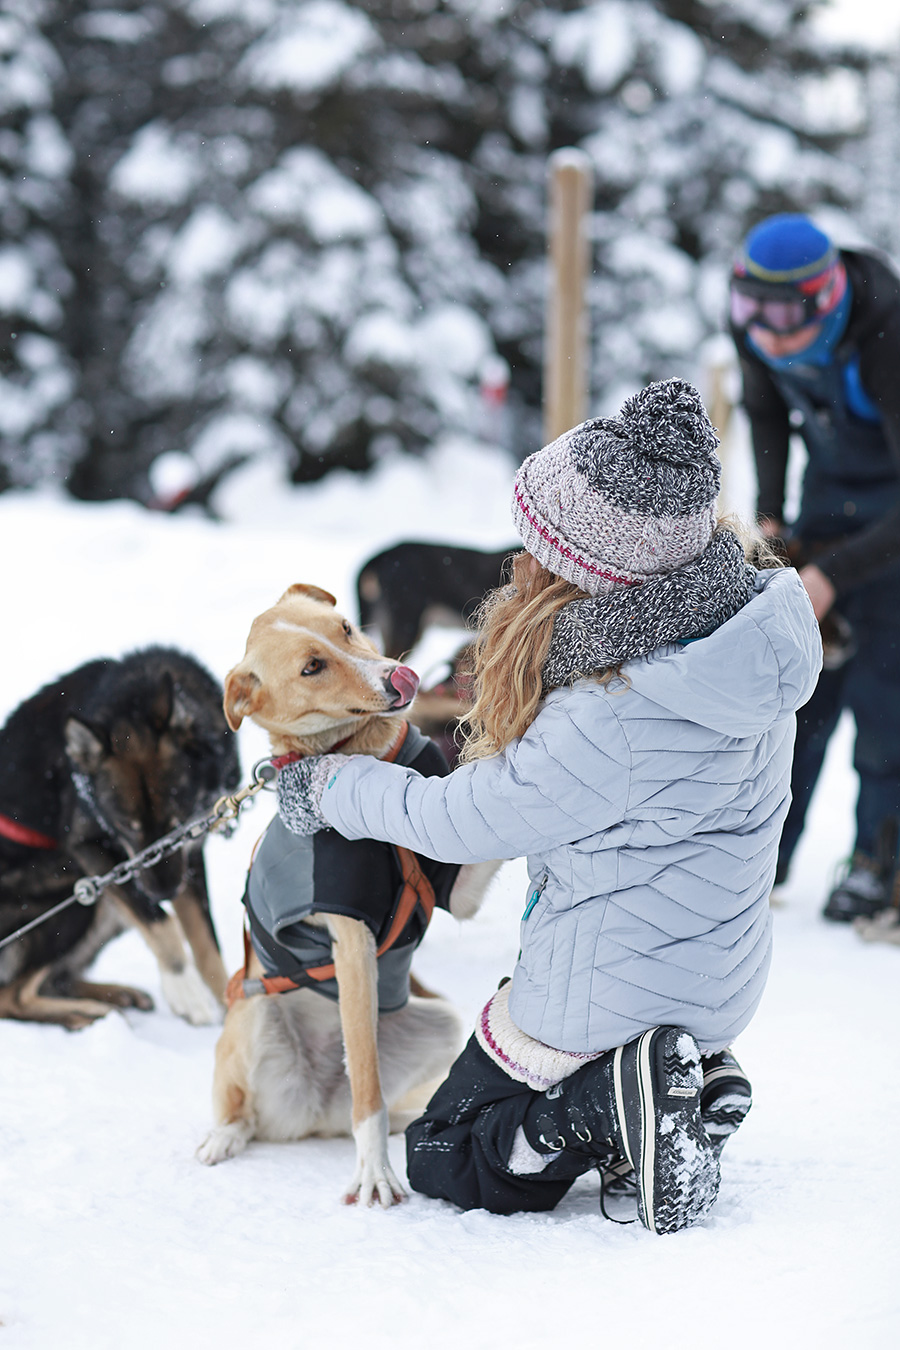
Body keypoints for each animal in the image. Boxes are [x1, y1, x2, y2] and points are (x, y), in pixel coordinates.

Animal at [0, 648, 238, 1026]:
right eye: (126, 827)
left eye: (178, 822)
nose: (165, 892)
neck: (133, 694)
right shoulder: (88, 847)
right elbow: (160, 920)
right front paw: (184, 988)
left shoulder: (190, 852)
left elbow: (205, 942)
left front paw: (233, 1007)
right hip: (80, 894)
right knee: (11, 996)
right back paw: (85, 1013)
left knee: (56, 980)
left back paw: (115, 995)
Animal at [194, 585, 499, 1209]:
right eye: (312, 667)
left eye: (346, 629)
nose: (401, 676)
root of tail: (313, 1112)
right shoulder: (350, 938)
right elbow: (369, 1092)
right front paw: (375, 1175)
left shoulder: (459, 887)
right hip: (254, 1014)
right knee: (255, 1111)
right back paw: (224, 1137)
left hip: (439, 1020)